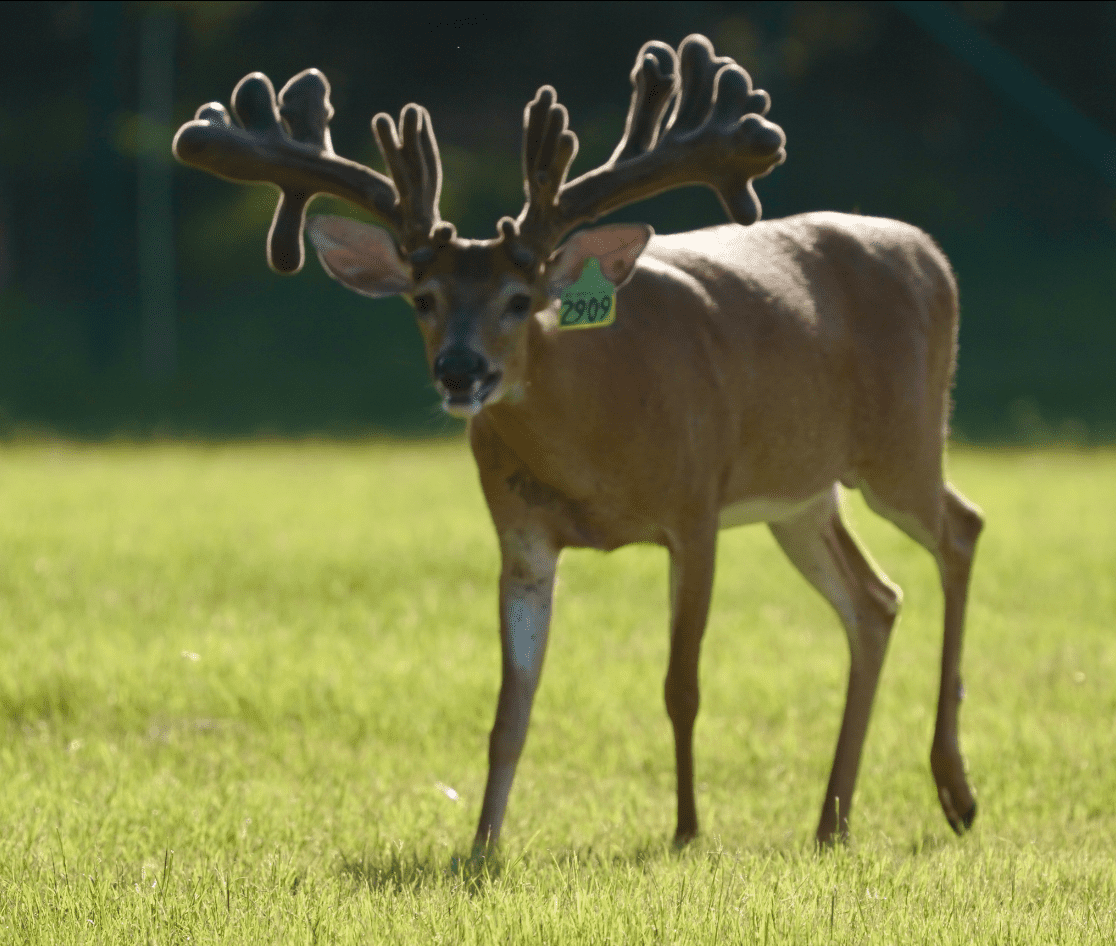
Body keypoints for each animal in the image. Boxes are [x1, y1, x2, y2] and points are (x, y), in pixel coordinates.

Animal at [173, 34, 983, 849]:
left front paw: (686, 832)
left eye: (519, 299)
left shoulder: (695, 507)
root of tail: (932, 252)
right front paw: (481, 847)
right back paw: (833, 821)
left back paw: (956, 790)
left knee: (960, 527)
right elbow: (510, 711)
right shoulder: (522, 536)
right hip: (800, 496)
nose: (460, 370)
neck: (597, 451)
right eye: (423, 299)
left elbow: (681, 686)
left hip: (903, 441)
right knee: (874, 600)